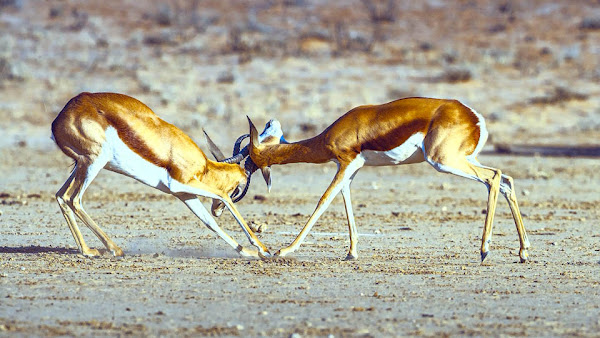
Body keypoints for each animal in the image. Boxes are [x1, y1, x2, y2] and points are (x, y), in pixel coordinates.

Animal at [51, 92, 272, 258]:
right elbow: (223, 196)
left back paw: (88, 250)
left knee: (61, 196)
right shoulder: (180, 184)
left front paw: (249, 253)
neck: (204, 167)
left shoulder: (184, 194)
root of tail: (59, 118)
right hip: (94, 162)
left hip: (81, 165)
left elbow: (210, 222)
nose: (216, 210)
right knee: (74, 199)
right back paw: (112, 250)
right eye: (238, 188)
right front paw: (264, 250)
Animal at [244, 96, 528, 262]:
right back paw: (523, 252)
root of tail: (474, 117)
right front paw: (351, 252)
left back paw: (485, 250)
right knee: (507, 180)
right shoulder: (350, 169)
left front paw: (284, 250)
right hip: (464, 159)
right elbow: (345, 201)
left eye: (250, 156)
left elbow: (323, 200)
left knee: (493, 177)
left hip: (443, 161)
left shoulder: (346, 163)